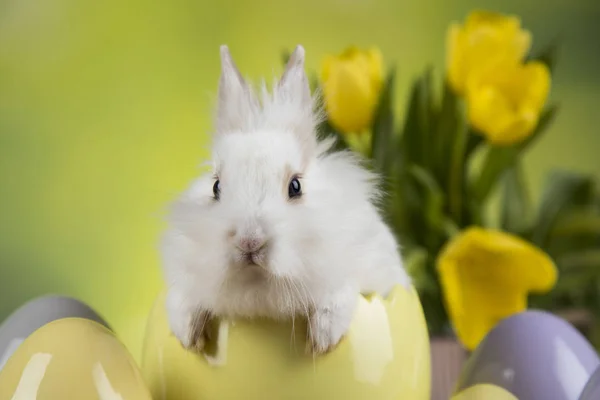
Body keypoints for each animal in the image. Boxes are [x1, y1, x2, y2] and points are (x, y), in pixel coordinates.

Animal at [162, 44, 410, 356]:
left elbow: (341, 294)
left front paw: (323, 339)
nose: (249, 242)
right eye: (216, 186)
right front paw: (187, 335)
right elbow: (181, 299)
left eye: (295, 186)